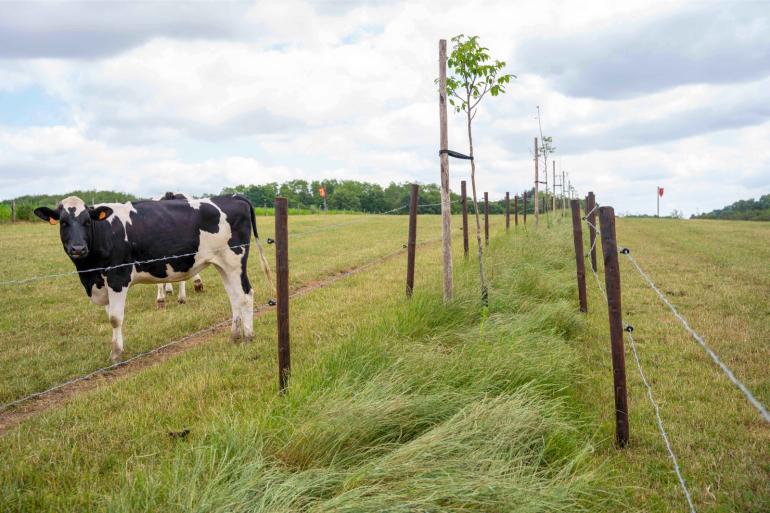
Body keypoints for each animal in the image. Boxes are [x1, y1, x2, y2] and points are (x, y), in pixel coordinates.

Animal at [34, 194, 272, 362]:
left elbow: (115, 318)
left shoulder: (118, 277)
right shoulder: (101, 283)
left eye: (86, 222)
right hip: (221, 264)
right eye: (63, 222)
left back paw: (248, 336)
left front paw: (116, 354)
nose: (78, 248)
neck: (89, 273)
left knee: (245, 294)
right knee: (234, 297)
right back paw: (235, 335)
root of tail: (233, 197)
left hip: (234, 260)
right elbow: (109, 315)